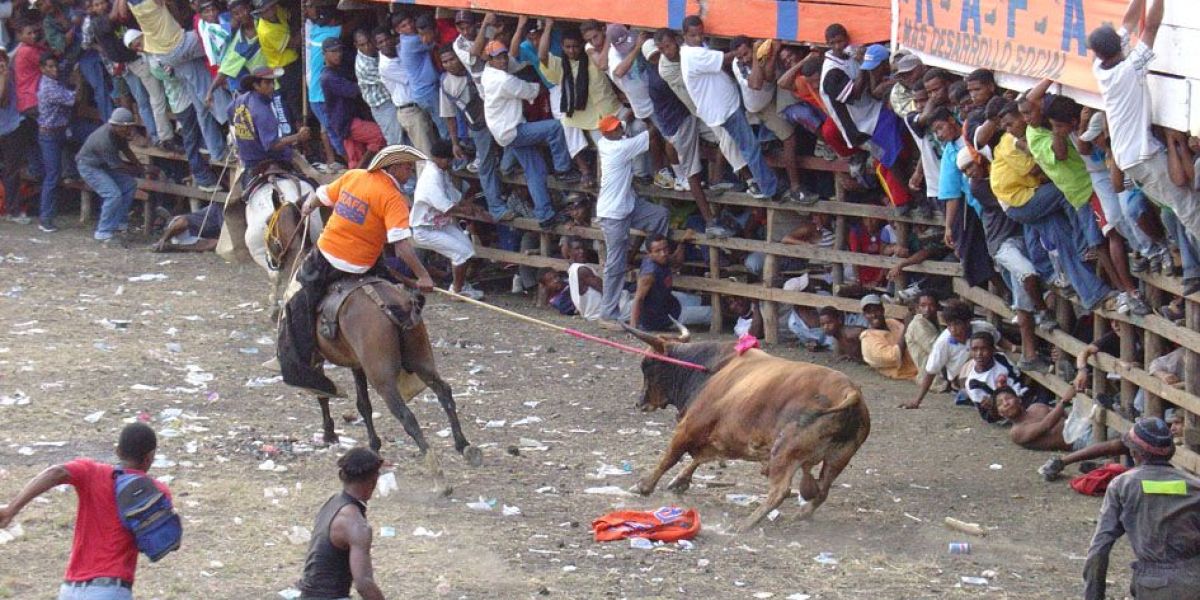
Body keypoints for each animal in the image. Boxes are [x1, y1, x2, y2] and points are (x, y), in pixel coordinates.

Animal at [270, 208, 480, 494]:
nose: (272, 261)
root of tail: (391, 304)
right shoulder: (358, 364)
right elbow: (363, 405)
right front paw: (372, 446)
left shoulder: (317, 359)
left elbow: (322, 394)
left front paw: (329, 433)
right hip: (420, 359)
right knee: (444, 391)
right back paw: (464, 446)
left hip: (382, 376)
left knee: (406, 415)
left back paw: (437, 472)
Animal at [624, 326, 868, 532]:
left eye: (648, 365)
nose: (639, 402)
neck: (711, 369)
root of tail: (849, 391)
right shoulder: (718, 436)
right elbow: (701, 457)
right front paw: (679, 481)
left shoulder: (690, 425)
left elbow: (670, 457)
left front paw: (644, 486)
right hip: (837, 457)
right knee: (822, 490)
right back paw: (801, 514)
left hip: (784, 451)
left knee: (781, 491)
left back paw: (746, 523)